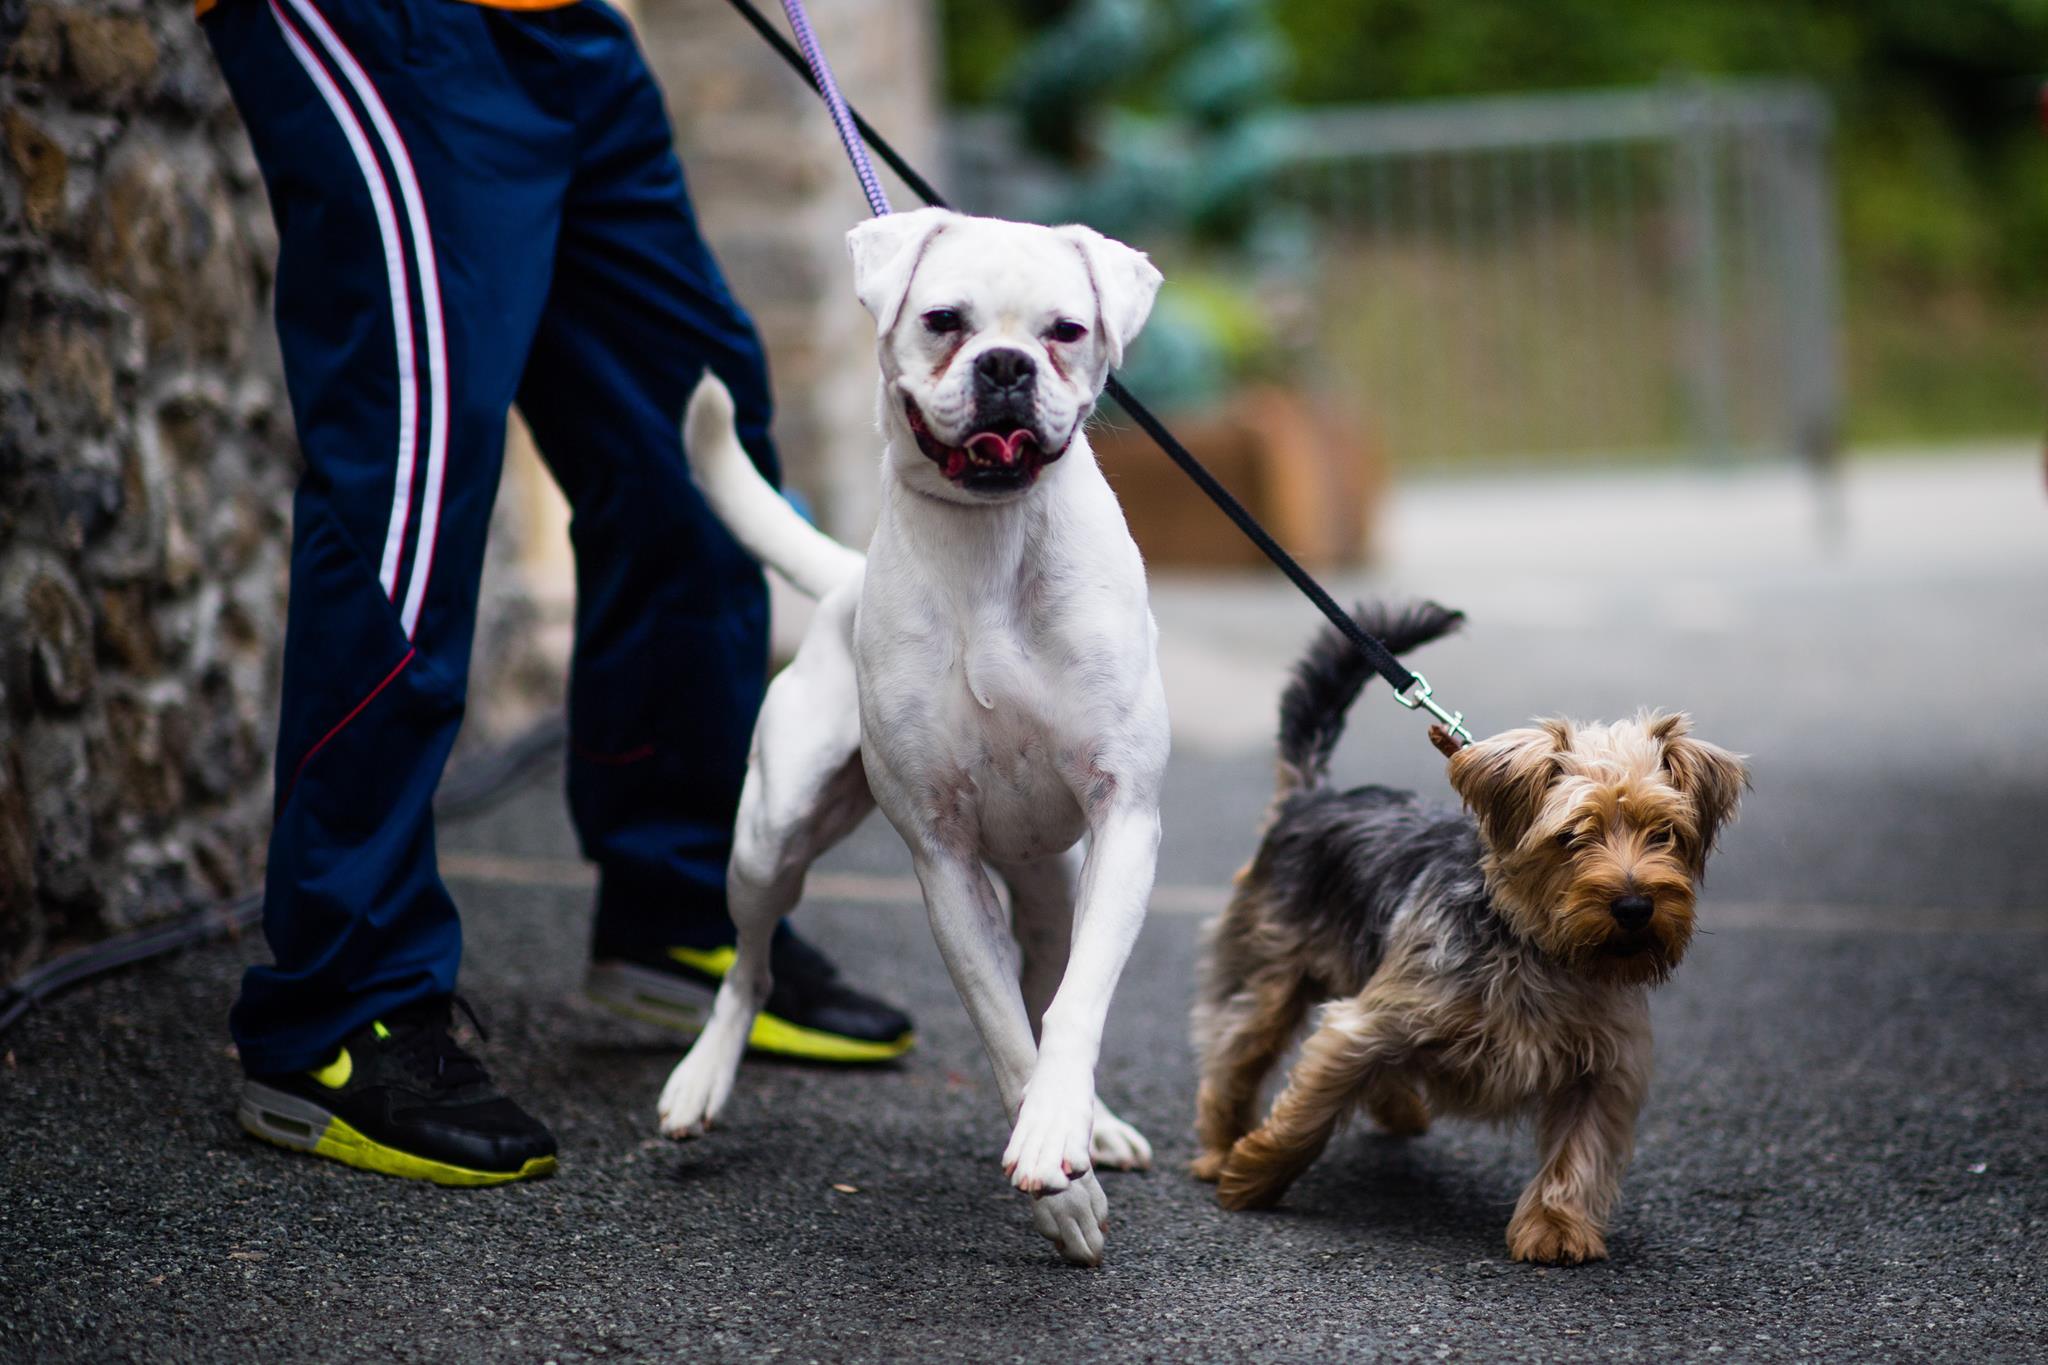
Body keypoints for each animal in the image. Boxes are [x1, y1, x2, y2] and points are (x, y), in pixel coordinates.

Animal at [655, 210, 1171, 1268]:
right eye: (943, 320)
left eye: (1066, 330)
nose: (1006, 365)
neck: (995, 539)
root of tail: (841, 578)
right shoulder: (945, 859)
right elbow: (1007, 1033)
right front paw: (1062, 1194)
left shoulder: (1125, 818)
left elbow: (1070, 1010)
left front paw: (1063, 1134)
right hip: (768, 839)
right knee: (751, 965)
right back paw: (701, 1077)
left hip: (1056, 886)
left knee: (1055, 977)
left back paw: (1093, 1121)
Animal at [1187, 601, 1744, 1268]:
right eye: (1571, 837)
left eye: (1665, 834)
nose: (1635, 906)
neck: (1533, 944)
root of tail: (1310, 798)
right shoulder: (1368, 1023)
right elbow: (1308, 1111)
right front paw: (1251, 1177)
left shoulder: (1605, 1065)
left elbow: (1580, 1152)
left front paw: (1556, 1226)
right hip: (1268, 969)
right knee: (1236, 1052)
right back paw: (1221, 1147)